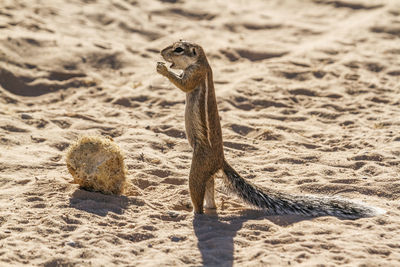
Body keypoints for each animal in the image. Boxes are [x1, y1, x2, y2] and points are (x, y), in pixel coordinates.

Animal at [155, 40, 382, 220]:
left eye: (178, 49)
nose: (161, 52)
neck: (201, 61)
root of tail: (221, 159)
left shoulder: (195, 74)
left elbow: (184, 85)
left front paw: (163, 69)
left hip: (197, 167)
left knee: (198, 200)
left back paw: (183, 212)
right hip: (207, 173)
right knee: (210, 196)